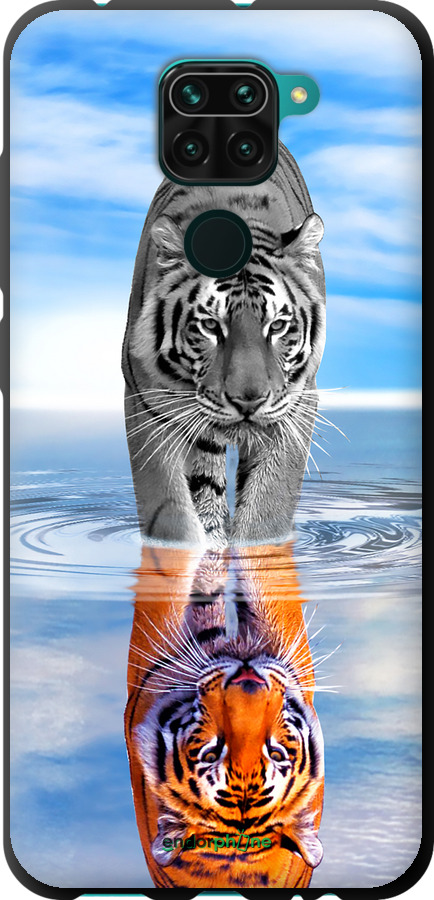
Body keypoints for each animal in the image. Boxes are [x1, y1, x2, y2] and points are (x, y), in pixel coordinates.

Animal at [122, 141, 325, 548]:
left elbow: (268, 507)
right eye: (210, 326)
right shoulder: (146, 402)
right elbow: (170, 511)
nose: (248, 401)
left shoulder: (296, 405)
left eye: (278, 325)